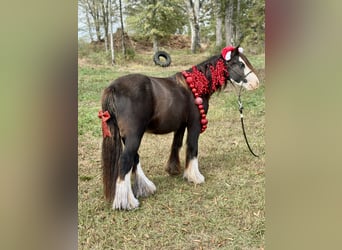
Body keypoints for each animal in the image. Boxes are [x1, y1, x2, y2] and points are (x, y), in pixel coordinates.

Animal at [99, 46, 260, 210]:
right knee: (126, 160)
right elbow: (192, 147)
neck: (195, 85)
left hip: (128, 136)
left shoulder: (181, 125)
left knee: (134, 159)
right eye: (240, 64)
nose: (256, 83)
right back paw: (126, 202)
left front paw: (173, 169)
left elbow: (176, 145)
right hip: (134, 135)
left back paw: (145, 188)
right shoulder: (194, 124)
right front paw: (194, 177)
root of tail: (113, 88)